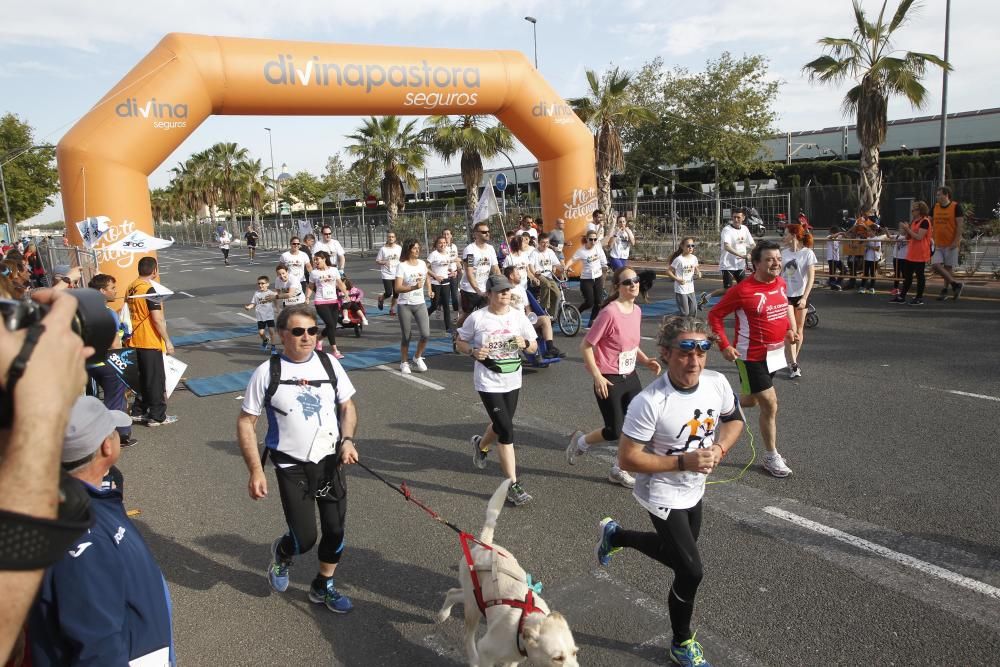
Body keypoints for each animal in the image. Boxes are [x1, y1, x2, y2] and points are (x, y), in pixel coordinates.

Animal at [436, 480, 580, 667]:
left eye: (574, 653)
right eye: (557, 658)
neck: (523, 625)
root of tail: (485, 545)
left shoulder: (512, 660)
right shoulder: (487, 650)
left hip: (476, 597)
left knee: (453, 592)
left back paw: (443, 614)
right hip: (473, 607)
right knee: (468, 636)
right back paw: (472, 657)